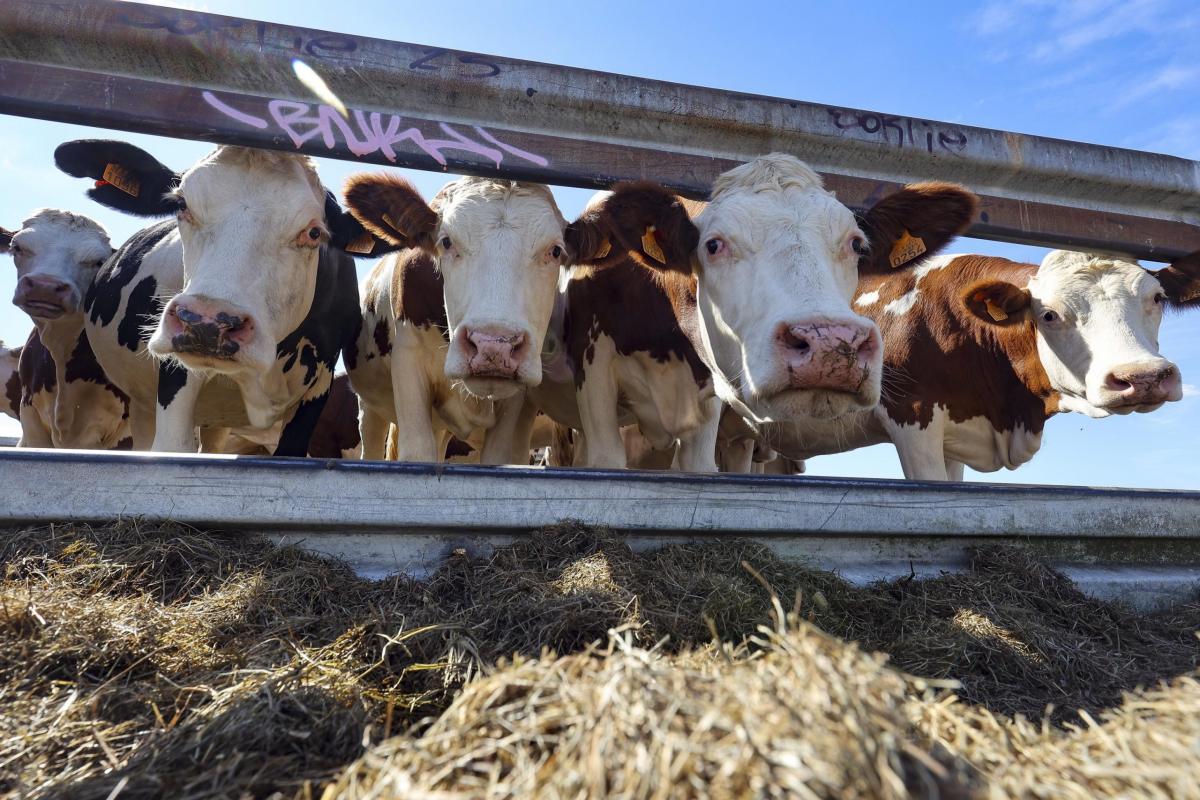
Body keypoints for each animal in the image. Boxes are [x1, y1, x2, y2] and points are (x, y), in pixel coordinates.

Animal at [340, 172, 578, 465]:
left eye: (555, 251)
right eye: (446, 241)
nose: (493, 347)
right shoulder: (408, 360)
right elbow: (417, 452)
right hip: (370, 407)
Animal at [530, 153, 979, 472]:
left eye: (856, 244)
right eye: (713, 245)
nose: (831, 345)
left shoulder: (707, 401)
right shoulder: (594, 372)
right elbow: (605, 460)